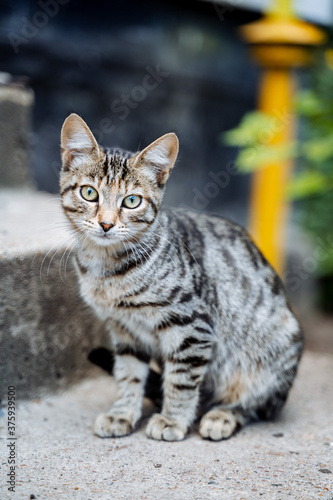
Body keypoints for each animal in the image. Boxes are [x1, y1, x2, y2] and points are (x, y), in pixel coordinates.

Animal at [59, 114, 304, 442]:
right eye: (89, 193)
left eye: (132, 201)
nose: (106, 224)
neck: (107, 268)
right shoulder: (124, 329)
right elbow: (128, 374)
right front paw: (122, 413)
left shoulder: (192, 325)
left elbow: (182, 379)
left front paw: (172, 420)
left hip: (277, 345)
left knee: (260, 404)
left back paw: (223, 414)